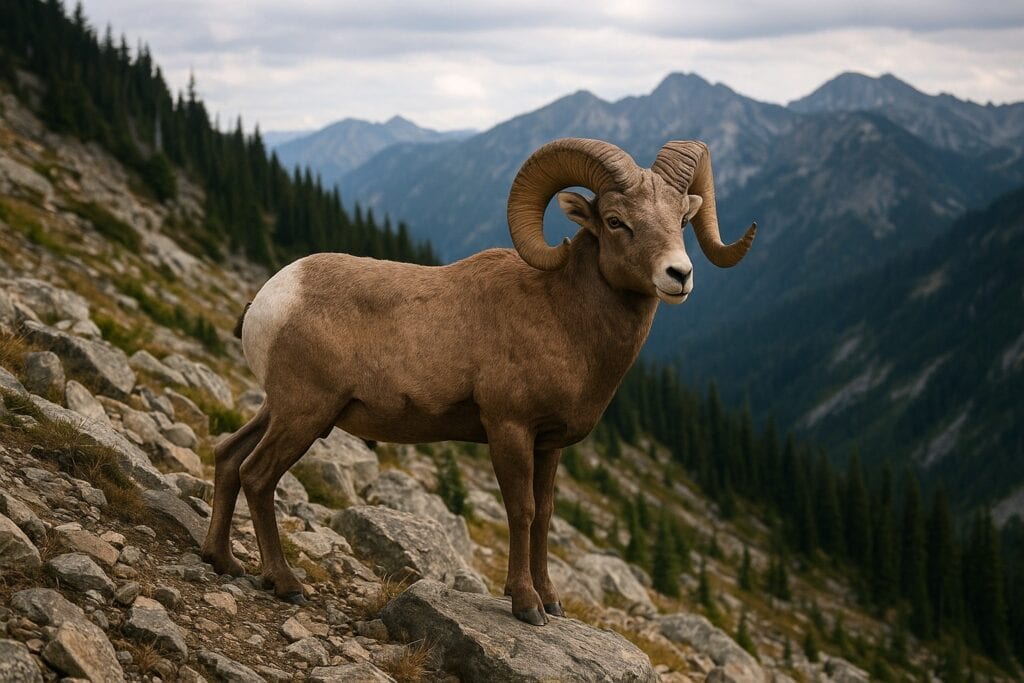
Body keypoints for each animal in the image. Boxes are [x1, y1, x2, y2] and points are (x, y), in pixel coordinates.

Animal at [200, 137, 756, 625]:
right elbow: (522, 511)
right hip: (305, 414)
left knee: (228, 456)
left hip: (283, 411)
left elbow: (545, 515)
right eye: (617, 221)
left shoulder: (548, 445)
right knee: (257, 475)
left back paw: (221, 561)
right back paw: (285, 584)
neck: (562, 317)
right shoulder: (509, 430)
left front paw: (552, 602)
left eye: (680, 220)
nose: (678, 275)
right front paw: (527, 606)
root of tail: (270, 300)